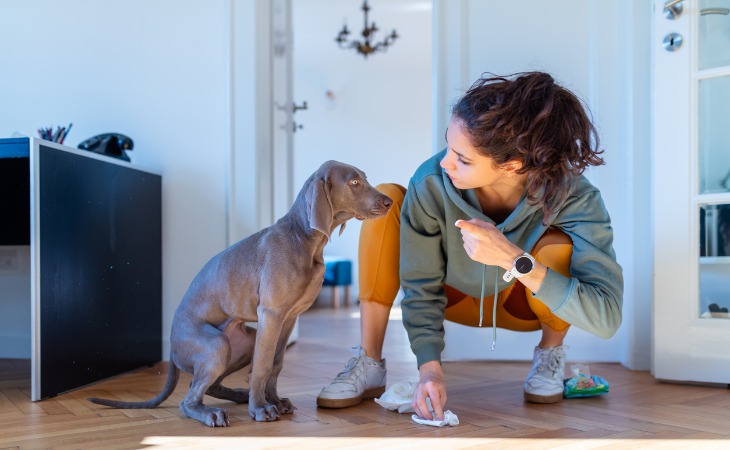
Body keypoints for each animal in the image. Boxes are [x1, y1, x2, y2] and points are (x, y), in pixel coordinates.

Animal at [87, 161, 390, 426]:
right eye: (354, 182)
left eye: (364, 178)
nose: (389, 201)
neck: (304, 239)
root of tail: (171, 349)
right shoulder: (271, 314)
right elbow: (263, 366)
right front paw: (262, 409)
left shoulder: (288, 318)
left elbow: (275, 363)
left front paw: (274, 401)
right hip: (216, 344)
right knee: (188, 399)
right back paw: (211, 413)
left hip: (242, 342)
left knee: (208, 385)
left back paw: (237, 396)